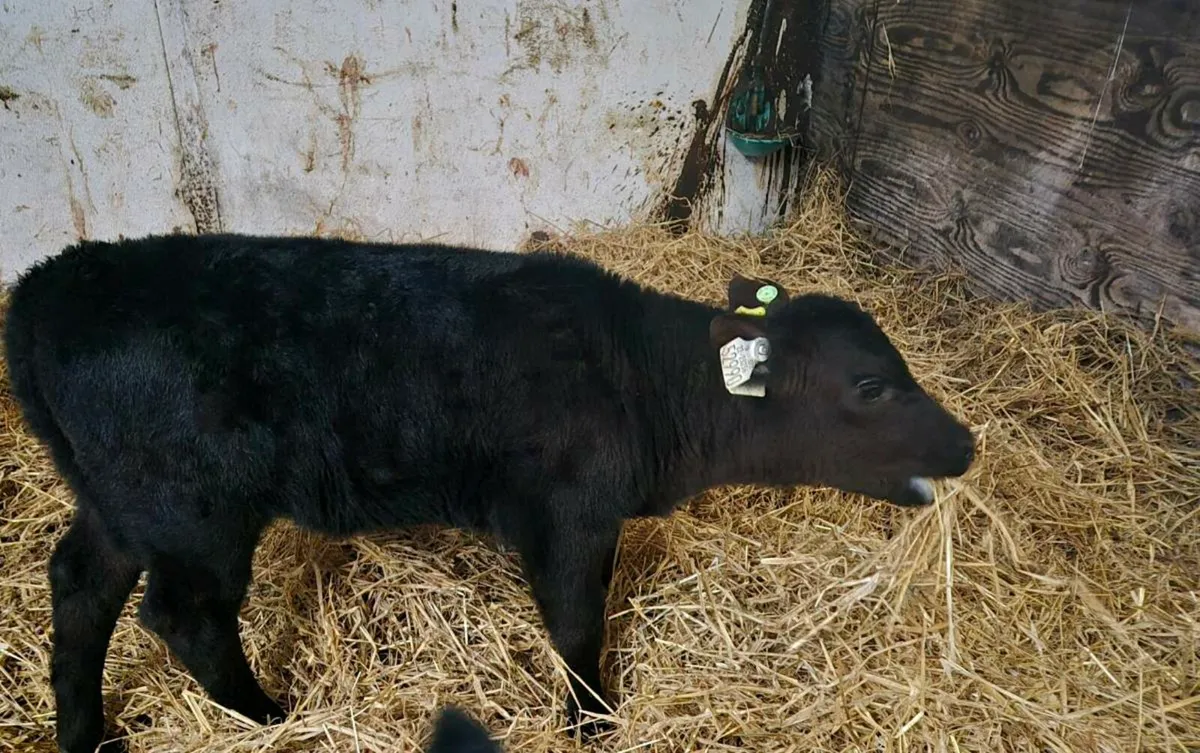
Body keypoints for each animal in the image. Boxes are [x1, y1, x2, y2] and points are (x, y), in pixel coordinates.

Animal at [2, 234, 975, 753]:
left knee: (80, 583)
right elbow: (578, 627)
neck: (645, 382)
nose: (965, 444)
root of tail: (47, 286)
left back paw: (88, 733)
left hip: (122, 502)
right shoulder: (571, 514)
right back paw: (270, 714)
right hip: (196, 510)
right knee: (184, 614)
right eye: (871, 386)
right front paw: (591, 721)